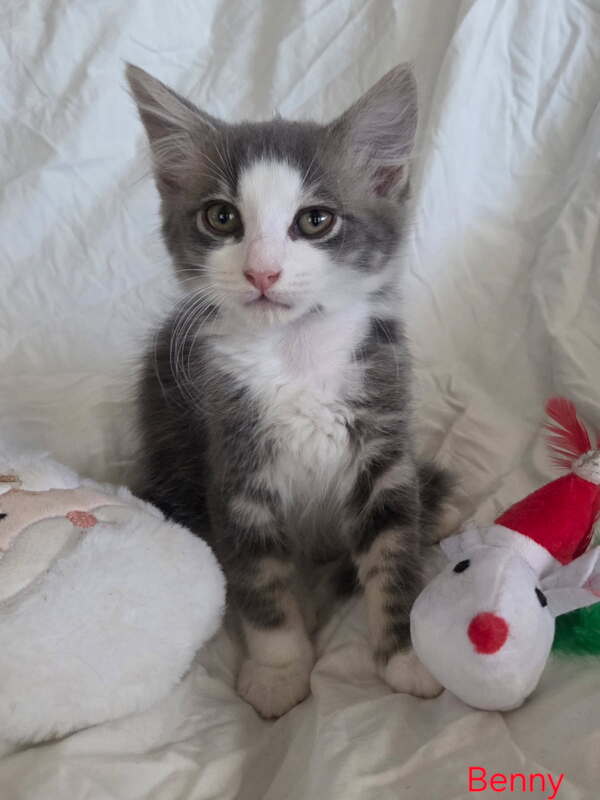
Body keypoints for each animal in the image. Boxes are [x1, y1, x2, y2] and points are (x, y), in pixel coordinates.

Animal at [128, 62, 451, 718]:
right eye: (222, 218)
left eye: (315, 220)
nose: (262, 271)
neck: (297, 354)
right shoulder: (233, 465)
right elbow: (260, 582)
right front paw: (279, 670)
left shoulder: (385, 445)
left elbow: (394, 553)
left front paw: (405, 654)